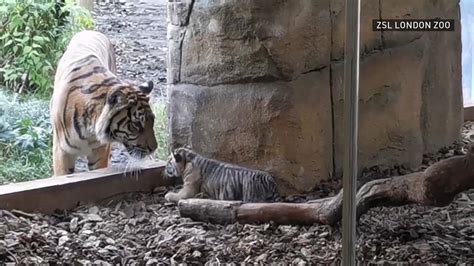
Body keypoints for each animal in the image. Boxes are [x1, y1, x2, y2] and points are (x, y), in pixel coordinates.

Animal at [50, 30, 157, 177]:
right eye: (136, 125)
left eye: (152, 121)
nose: (154, 148)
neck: (88, 130)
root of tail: (91, 31)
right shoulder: (62, 152)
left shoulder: (100, 150)